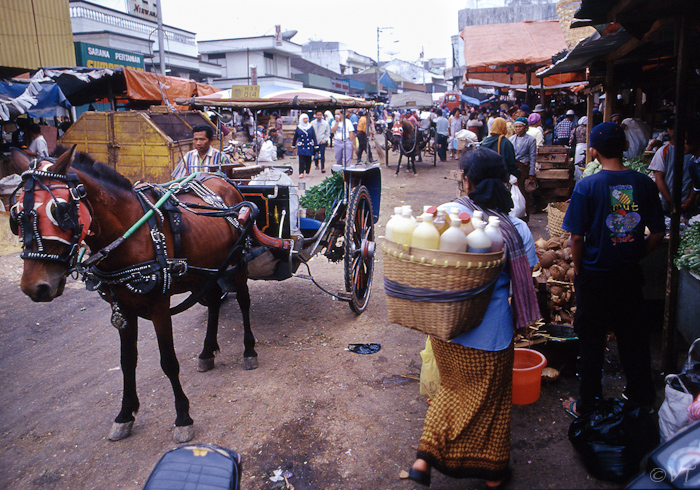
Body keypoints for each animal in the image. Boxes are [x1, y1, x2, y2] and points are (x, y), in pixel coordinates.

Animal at [8, 146, 260, 444]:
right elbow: (127, 362)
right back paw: (207, 351)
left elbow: (168, 362)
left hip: (238, 262)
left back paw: (249, 350)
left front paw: (183, 417)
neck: (130, 235)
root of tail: (223, 179)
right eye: (15, 215)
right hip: (205, 270)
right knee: (213, 304)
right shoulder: (122, 310)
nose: (34, 286)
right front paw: (125, 414)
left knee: (243, 302)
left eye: (61, 211)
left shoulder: (159, 306)